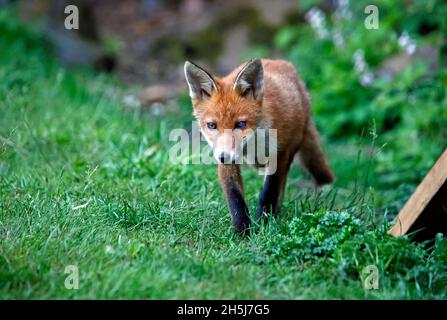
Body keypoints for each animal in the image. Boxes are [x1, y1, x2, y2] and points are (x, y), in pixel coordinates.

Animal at [184, 58, 334, 235]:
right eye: (212, 125)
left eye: (241, 124)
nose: (224, 157)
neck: (253, 144)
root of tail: (279, 62)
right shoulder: (226, 161)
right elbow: (235, 198)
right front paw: (243, 231)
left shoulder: (281, 154)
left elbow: (269, 192)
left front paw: (263, 224)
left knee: (281, 185)